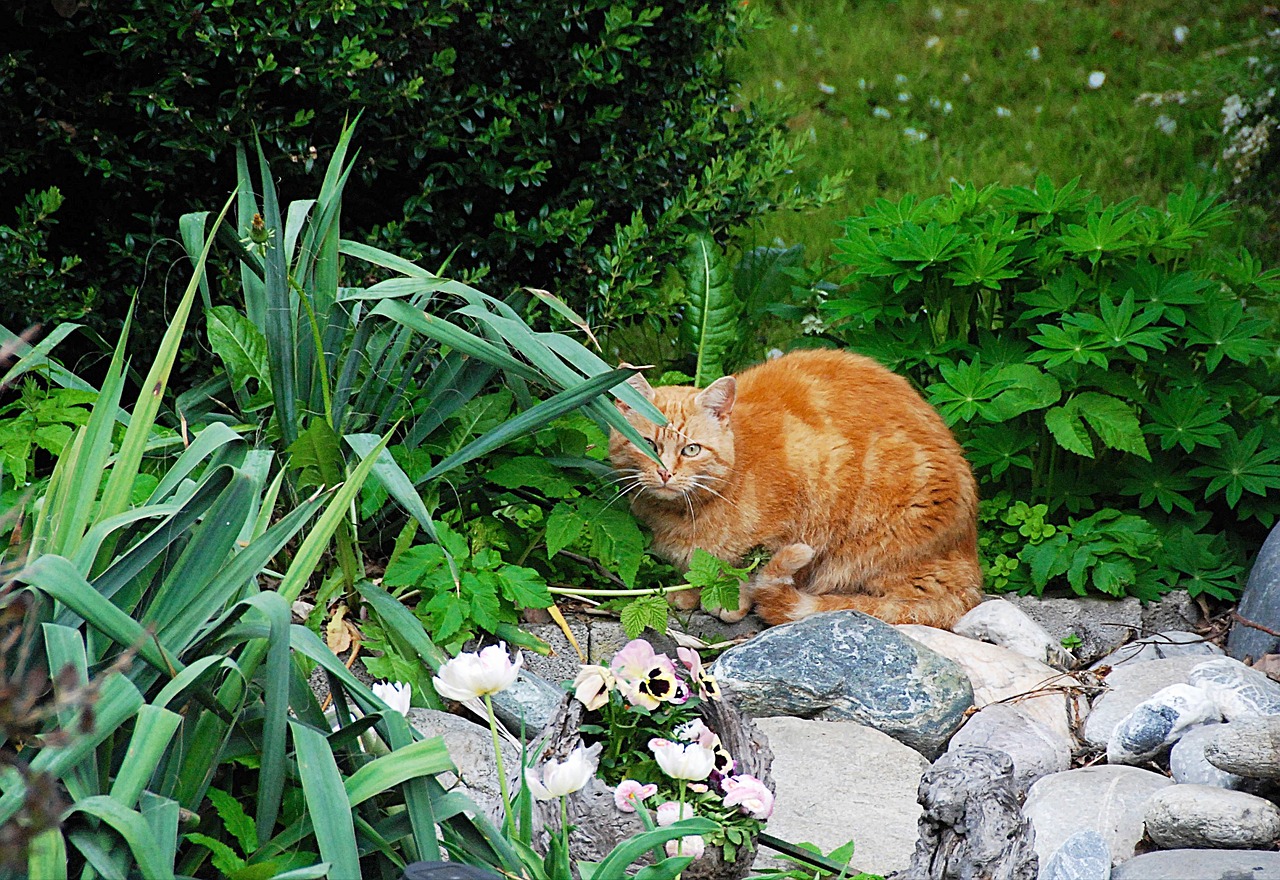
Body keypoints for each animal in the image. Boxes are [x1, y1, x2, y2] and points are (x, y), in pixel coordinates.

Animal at [609, 347, 977, 629]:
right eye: (647, 444)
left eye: (691, 449)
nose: (665, 472)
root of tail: (970, 565)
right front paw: (687, 592)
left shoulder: (798, 510)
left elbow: (748, 569)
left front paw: (730, 601)